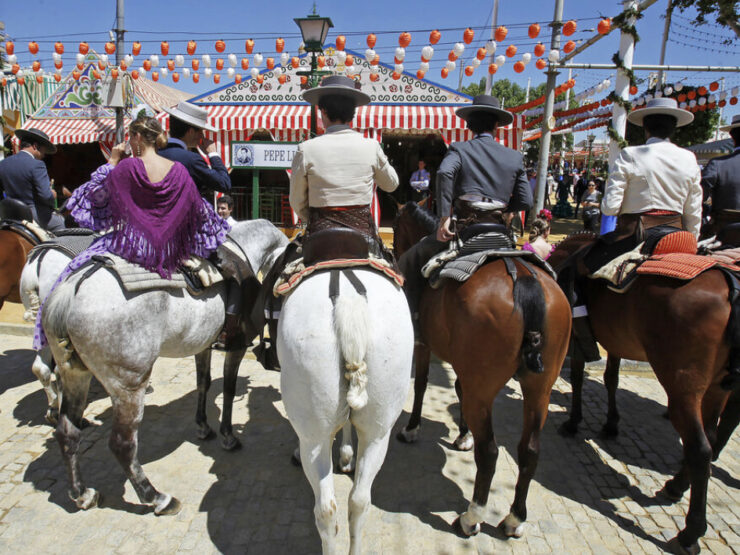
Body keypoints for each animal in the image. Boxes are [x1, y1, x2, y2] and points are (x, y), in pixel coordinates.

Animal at [41, 219, 286, 516]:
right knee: (122, 445)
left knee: (68, 432)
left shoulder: (203, 346)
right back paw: (157, 498)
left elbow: (203, 383)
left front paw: (203, 427)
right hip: (129, 386)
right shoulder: (236, 347)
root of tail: (71, 289)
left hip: (75, 375)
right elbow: (228, 389)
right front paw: (228, 436)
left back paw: (82, 494)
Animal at [278, 268, 414, 552]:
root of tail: (349, 301)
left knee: (325, 510)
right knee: (359, 502)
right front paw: (347, 455)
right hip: (378, 432)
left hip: (314, 439)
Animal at [394, 203, 572, 540]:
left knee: (489, 452)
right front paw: (463, 435)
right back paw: (514, 519)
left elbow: (422, 383)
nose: (393, 247)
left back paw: (471, 517)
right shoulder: (464, 365)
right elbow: (458, 389)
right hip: (539, 389)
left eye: (396, 228)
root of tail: (524, 280)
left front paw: (412, 429)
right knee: (529, 451)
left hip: (486, 387)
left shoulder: (424, 345)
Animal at [548, 232, 736, 552]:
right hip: (717, 386)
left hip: (682, 385)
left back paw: (690, 533)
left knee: (699, 448)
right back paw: (675, 486)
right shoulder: (615, 340)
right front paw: (610, 425)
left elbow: (577, 378)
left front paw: (573, 422)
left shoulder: (577, 337)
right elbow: (610, 378)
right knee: (710, 438)